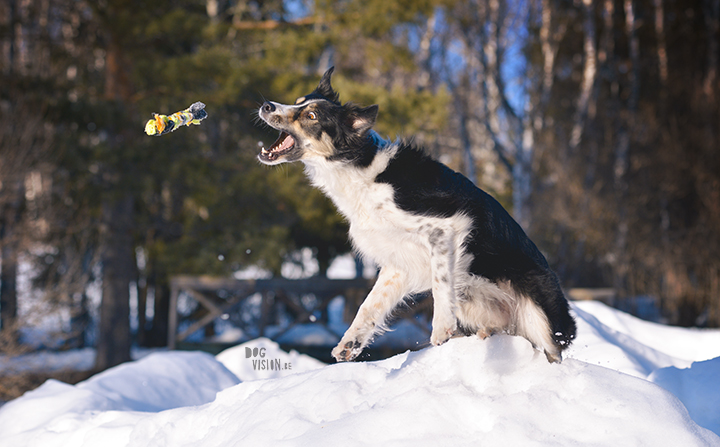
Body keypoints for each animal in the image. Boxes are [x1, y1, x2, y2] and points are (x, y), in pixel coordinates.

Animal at [256, 67, 576, 364]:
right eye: (297, 102)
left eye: (310, 115)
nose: (267, 105)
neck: (360, 169)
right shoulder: (398, 261)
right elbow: (370, 305)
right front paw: (351, 342)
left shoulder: (447, 227)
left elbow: (440, 281)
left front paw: (442, 328)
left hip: (540, 317)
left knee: (552, 351)